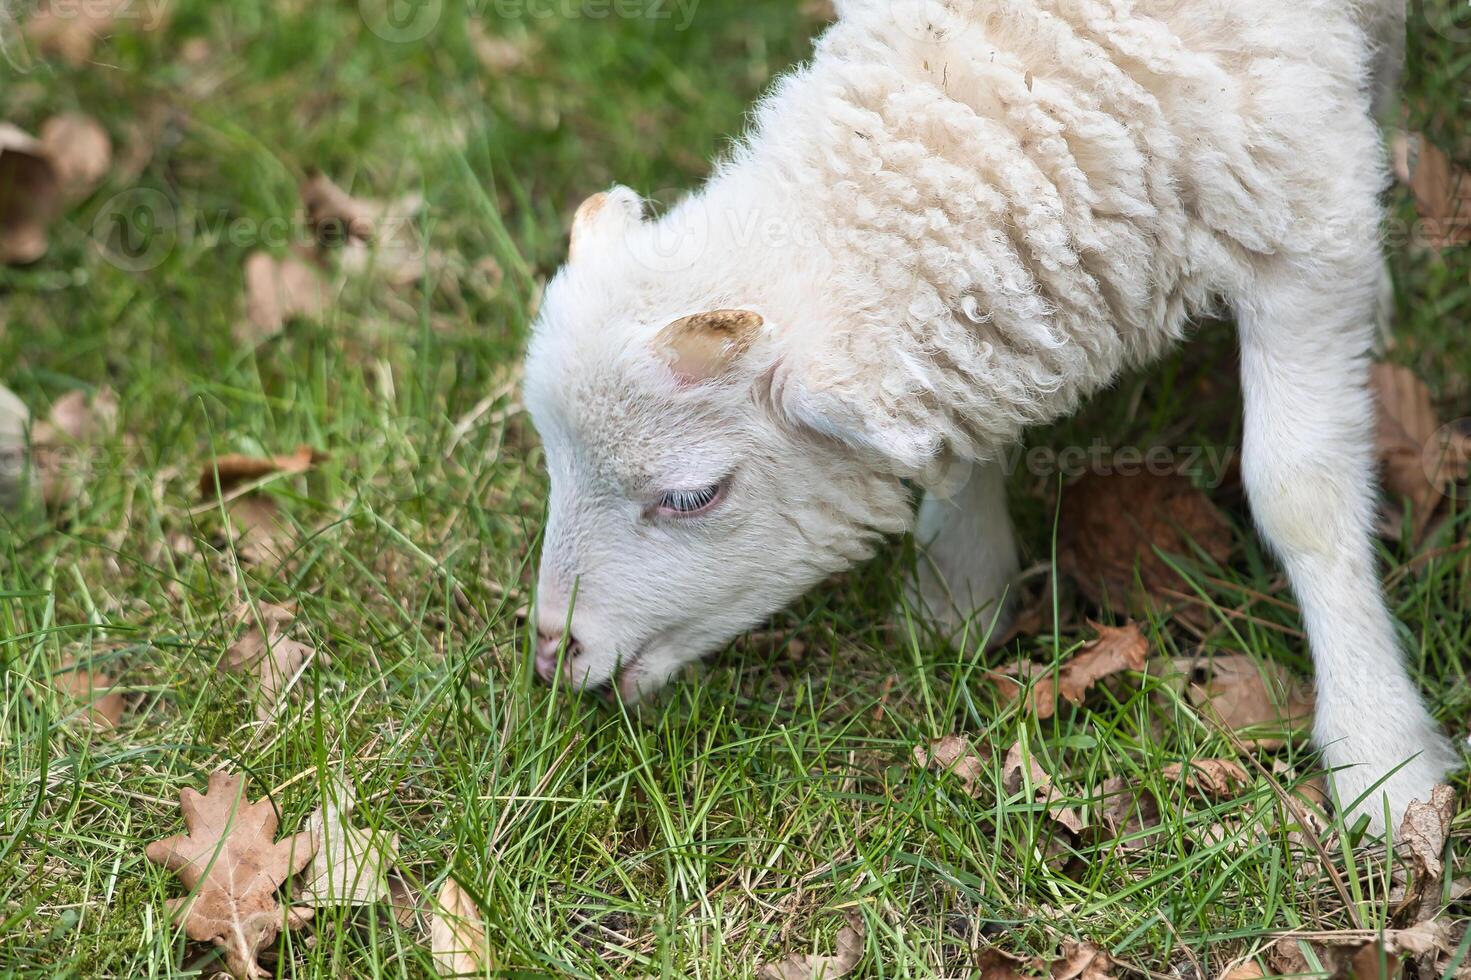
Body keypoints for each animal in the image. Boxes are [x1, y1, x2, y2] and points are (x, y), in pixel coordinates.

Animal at [520, 0, 1459, 829]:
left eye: (691, 496)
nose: (553, 653)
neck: (1047, 51)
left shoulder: (1302, 211)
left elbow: (1300, 495)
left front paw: (1381, 759)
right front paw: (957, 595)